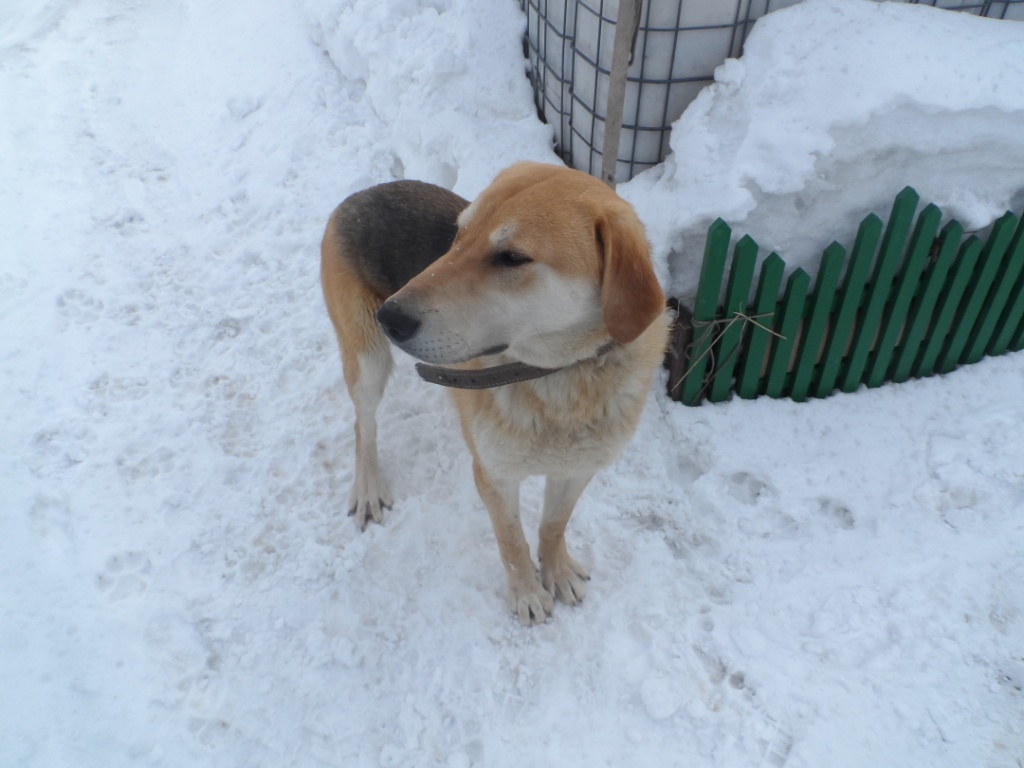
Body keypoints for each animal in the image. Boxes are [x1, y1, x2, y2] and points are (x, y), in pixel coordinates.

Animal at [321, 162, 668, 625]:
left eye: (513, 257)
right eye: (458, 235)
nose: (389, 317)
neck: (558, 379)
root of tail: (362, 193)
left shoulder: (577, 470)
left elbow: (553, 525)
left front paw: (556, 571)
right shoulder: (495, 476)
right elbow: (511, 541)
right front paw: (527, 593)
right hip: (368, 362)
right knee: (364, 426)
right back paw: (367, 489)